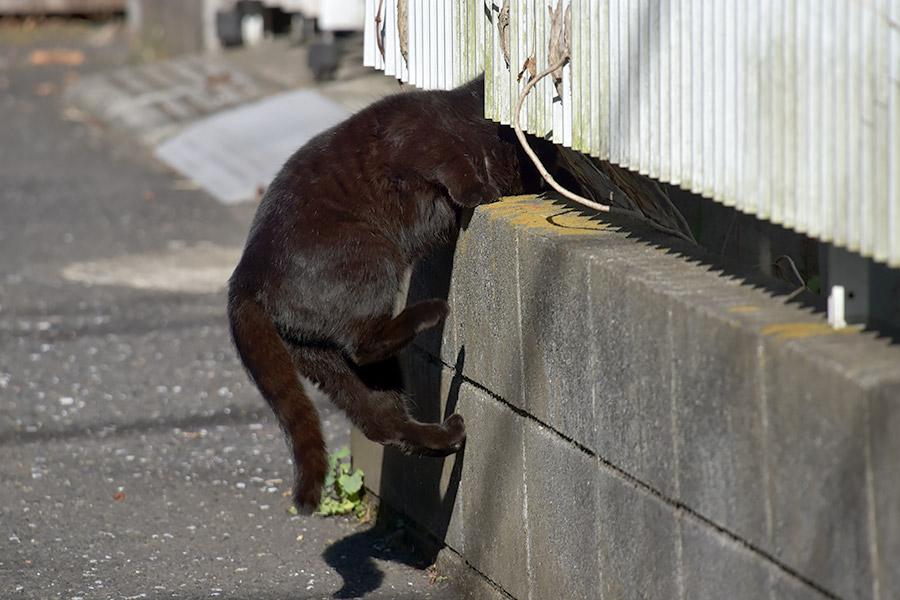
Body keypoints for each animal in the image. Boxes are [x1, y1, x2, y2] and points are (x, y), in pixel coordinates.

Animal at [225, 76, 548, 510]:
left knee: (382, 421)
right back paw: (434, 313)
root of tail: (244, 274)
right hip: (373, 254)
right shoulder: (419, 135)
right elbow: (453, 161)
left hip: (332, 362)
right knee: (366, 344)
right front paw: (480, 191)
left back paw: (449, 435)